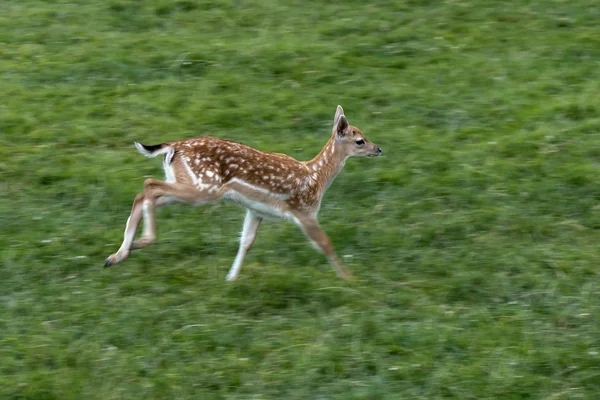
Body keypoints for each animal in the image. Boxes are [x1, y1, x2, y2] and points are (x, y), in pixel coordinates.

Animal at [105, 106, 382, 282]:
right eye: (359, 140)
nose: (378, 149)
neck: (316, 177)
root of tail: (173, 146)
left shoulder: (256, 209)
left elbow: (246, 242)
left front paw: (230, 278)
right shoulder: (304, 210)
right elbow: (325, 243)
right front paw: (349, 279)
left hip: (189, 184)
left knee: (144, 195)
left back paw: (118, 255)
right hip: (202, 187)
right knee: (149, 185)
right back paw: (139, 243)